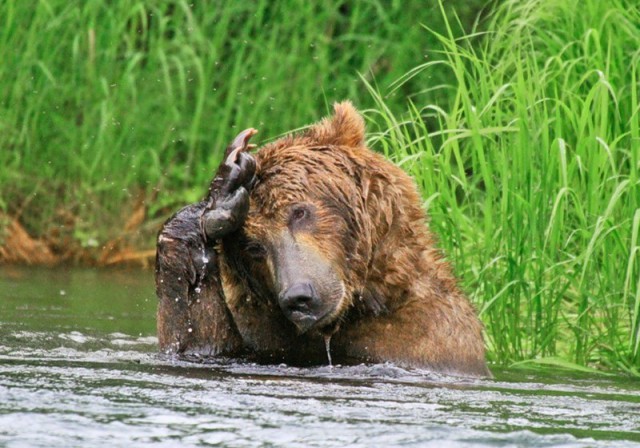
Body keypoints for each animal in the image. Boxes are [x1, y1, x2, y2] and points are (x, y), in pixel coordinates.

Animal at [155, 101, 490, 377]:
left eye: (299, 211)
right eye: (253, 246)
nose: (298, 297)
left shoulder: (428, 341)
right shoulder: (257, 335)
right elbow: (197, 345)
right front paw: (224, 188)